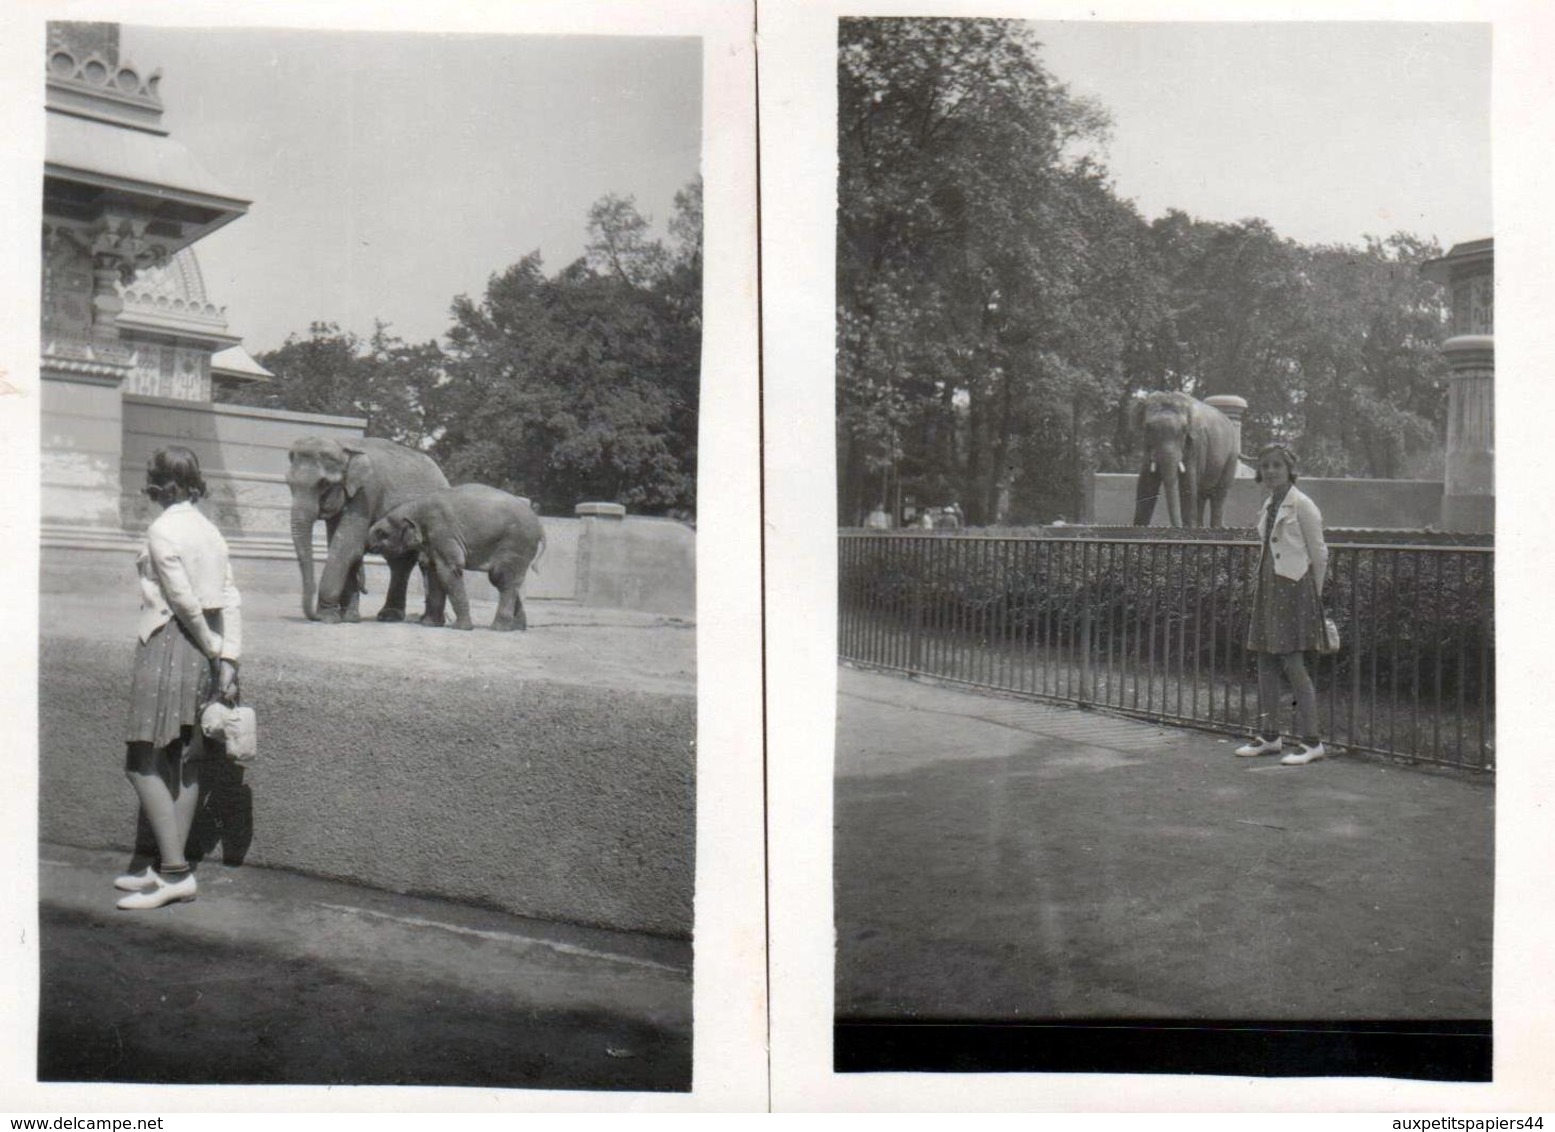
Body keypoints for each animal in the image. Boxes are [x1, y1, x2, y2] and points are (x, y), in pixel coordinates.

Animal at [286, 435, 450, 628]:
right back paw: (389, 616)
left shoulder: (367, 492)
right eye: (289, 483)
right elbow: (340, 544)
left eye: (324, 483)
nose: (313, 616)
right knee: (399, 562)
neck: (343, 444)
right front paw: (348, 618)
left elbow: (345, 547)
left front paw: (327, 618)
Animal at [370, 482, 547, 631]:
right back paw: (517, 628)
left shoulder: (443, 532)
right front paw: (430, 625)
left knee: (502, 578)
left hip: (516, 544)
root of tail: (540, 526)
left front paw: (461, 628)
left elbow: (449, 571)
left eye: (381, 532)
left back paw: (499, 628)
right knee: (503, 580)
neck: (415, 507)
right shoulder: (433, 542)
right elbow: (435, 572)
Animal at [1132, 391, 1237, 528]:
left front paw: (1187, 527)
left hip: (1231, 457)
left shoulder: (1196, 442)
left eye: (1183, 430)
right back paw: (1199, 526)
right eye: (1148, 428)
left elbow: (1188, 482)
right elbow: (1146, 482)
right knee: (1201, 495)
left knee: (1218, 496)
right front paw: (1138, 526)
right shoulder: (1146, 445)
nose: (1177, 526)